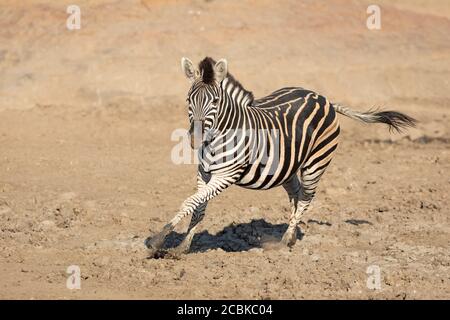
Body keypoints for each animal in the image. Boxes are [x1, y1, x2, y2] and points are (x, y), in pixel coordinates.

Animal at [146, 57, 416, 258]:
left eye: (215, 100)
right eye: (189, 99)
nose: (195, 139)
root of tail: (324, 98)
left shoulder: (226, 175)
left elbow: (189, 202)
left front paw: (158, 239)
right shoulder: (204, 172)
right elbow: (197, 208)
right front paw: (182, 247)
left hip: (315, 164)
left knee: (306, 198)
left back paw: (284, 242)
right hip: (287, 168)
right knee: (296, 195)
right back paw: (292, 235)